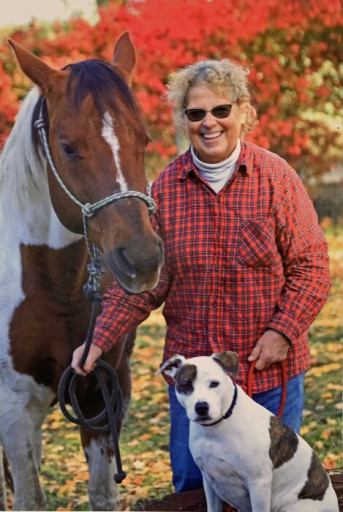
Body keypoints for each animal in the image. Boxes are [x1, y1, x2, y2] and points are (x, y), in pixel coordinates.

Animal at [0, 33, 164, 512]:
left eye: (144, 140)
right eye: (69, 147)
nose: (142, 259)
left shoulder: (102, 392)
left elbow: (103, 493)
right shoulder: (12, 409)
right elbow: (29, 497)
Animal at [160, 352, 340, 512]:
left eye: (214, 383)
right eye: (185, 385)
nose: (202, 407)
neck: (217, 427)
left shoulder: (258, 483)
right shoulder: (209, 481)